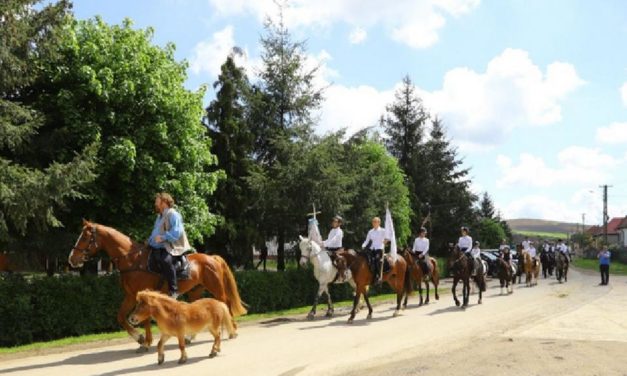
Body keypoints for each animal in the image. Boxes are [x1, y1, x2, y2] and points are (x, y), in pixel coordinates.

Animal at [67, 220, 247, 352]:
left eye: (85, 237)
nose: (72, 259)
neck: (133, 261)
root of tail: (212, 258)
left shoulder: (141, 296)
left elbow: (144, 319)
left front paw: (145, 341)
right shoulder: (130, 296)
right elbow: (121, 317)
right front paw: (140, 339)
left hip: (216, 288)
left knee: (225, 304)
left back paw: (232, 330)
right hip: (195, 291)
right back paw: (190, 337)